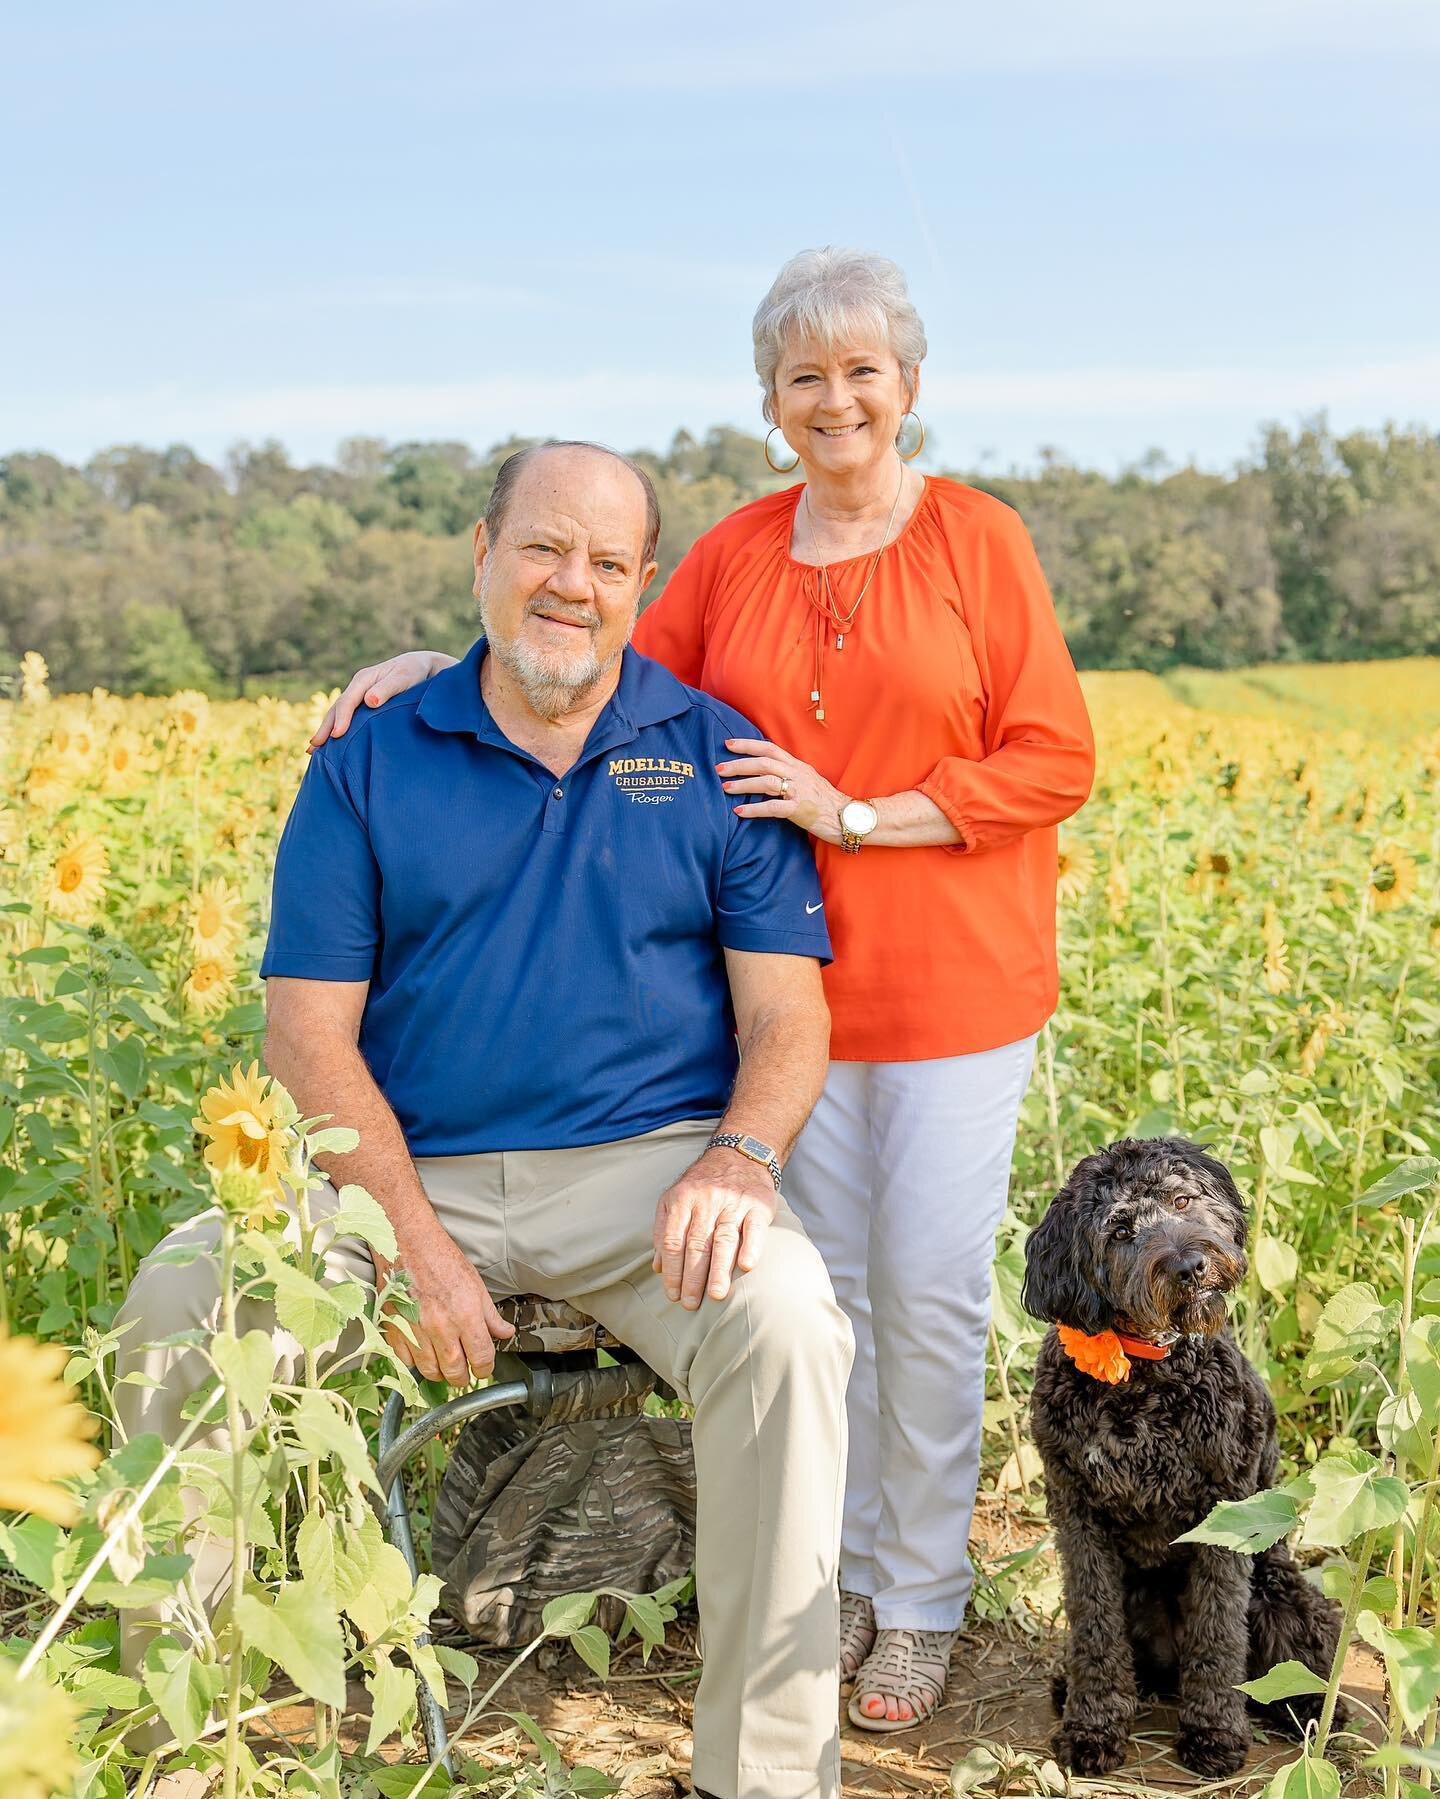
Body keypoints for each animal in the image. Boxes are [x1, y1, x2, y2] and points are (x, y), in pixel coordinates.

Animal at [1022, 1129, 1339, 1777]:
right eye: (1119, 1230)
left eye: (1183, 1200)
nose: (1190, 1266)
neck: (1145, 1373)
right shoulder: (1077, 1515)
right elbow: (1095, 1628)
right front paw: (1093, 1728)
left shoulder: (1225, 1517)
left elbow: (1217, 1633)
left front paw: (1213, 1734)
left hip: (1278, 1594)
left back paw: (1311, 1707)